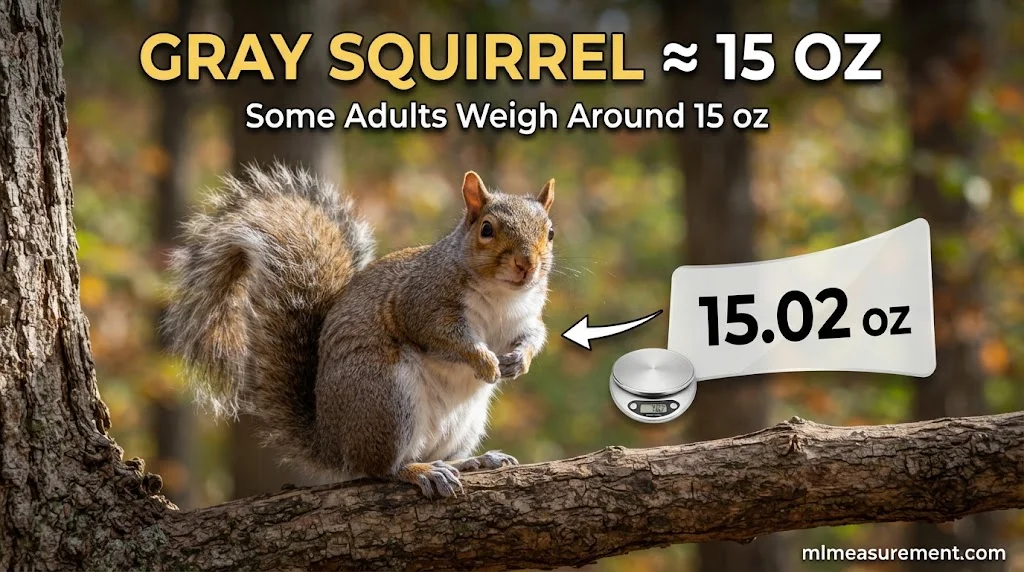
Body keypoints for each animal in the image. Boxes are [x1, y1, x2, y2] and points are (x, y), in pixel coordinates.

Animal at [163, 163, 555, 498]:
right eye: (487, 229)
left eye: (549, 233)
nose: (526, 265)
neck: (502, 295)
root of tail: (333, 444)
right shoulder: (420, 302)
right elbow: (444, 336)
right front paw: (484, 361)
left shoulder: (525, 317)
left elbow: (534, 336)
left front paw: (518, 361)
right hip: (385, 397)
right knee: (380, 468)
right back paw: (420, 471)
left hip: (463, 422)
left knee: (437, 455)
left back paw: (473, 461)